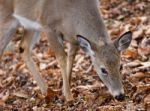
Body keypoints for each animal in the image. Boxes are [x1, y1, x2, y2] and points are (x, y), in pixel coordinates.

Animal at [0, 0, 132, 101]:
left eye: (121, 66)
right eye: (103, 69)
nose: (120, 96)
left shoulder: (74, 38)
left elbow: (71, 57)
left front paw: (64, 89)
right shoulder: (48, 26)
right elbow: (61, 58)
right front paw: (69, 97)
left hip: (29, 25)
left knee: (23, 48)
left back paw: (45, 90)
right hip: (6, 20)